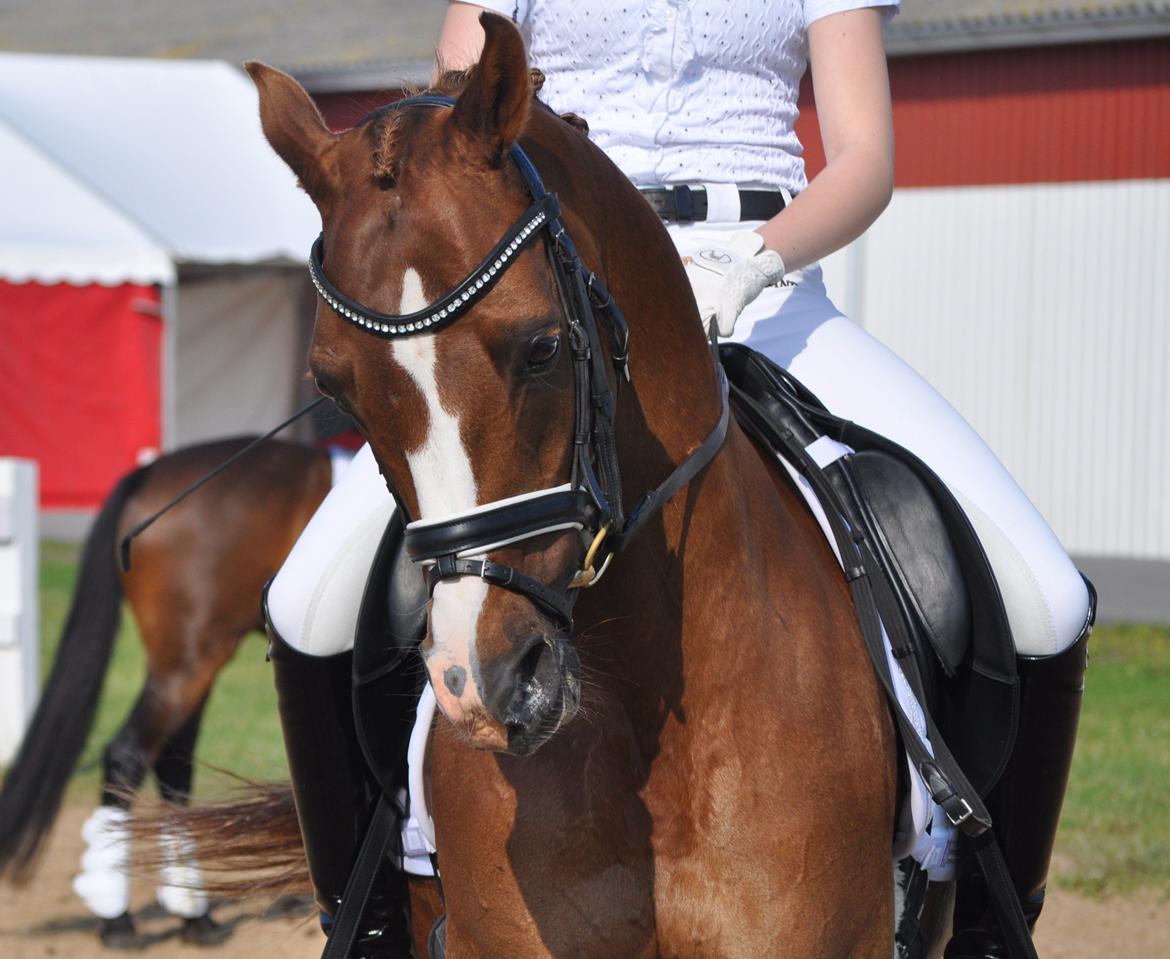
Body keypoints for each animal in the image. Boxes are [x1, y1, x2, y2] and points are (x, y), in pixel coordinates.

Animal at [0, 436, 332, 944]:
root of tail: (152, 474)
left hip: (189, 662)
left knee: (172, 764)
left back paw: (193, 914)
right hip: (190, 661)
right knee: (129, 754)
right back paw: (118, 919)